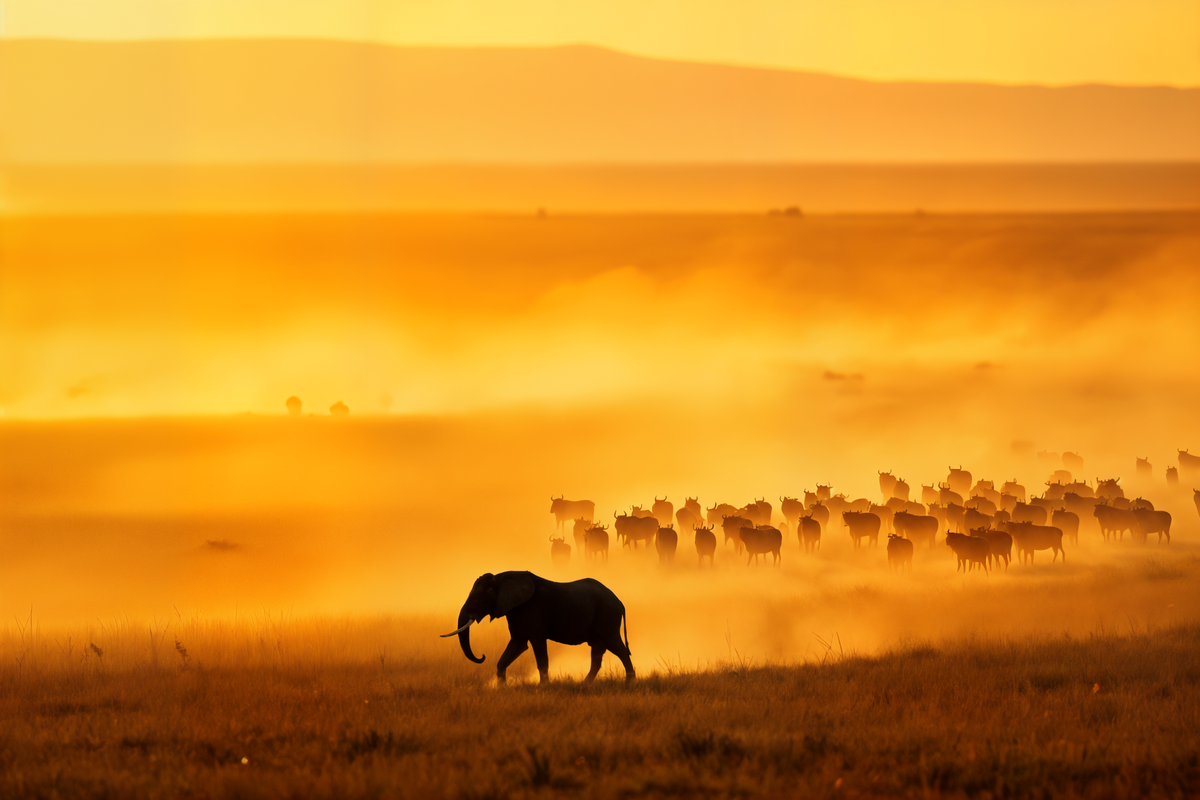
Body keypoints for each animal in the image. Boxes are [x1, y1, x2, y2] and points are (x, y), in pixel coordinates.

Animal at [441, 571, 635, 684]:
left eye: (477, 600)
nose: (482, 656)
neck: (501, 577)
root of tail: (620, 602)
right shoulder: (515, 610)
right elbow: (518, 644)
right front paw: (502, 688)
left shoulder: (532, 609)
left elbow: (538, 649)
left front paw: (543, 687)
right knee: (597, 652)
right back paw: (585, 685)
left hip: (608, 616)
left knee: (617, 648)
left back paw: (629, 683)